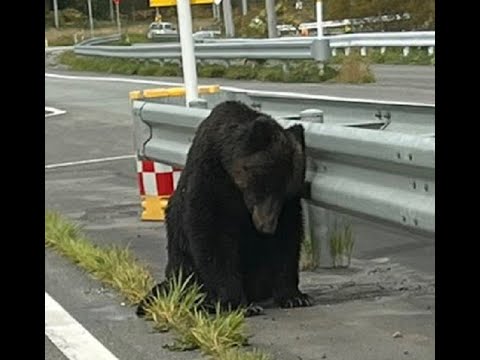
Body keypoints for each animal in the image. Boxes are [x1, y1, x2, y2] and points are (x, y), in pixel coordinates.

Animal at [137, 100, 314, 316]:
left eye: (285, 192)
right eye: (265, 186)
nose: (267, 227)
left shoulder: (287, 207)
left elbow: (287, 238)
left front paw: (295, 297)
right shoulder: (211, 180)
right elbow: (212, 235)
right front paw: (239, 304)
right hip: (182, 265)